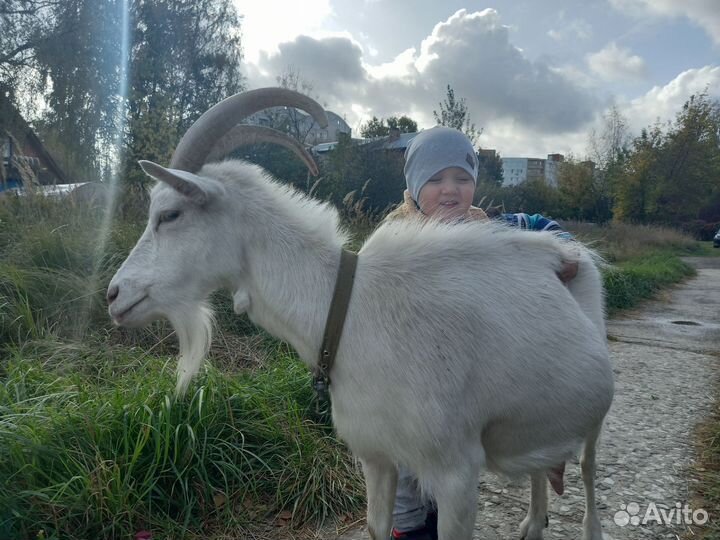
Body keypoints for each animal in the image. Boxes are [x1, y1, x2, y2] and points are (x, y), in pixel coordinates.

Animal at [107, 88, 614, 540]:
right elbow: (376, 526)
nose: (114, 294)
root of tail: (570, 251)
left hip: (595, 414)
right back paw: (533, 523)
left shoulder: (456, 471)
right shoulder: (377, 455)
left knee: (588, 467)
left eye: (169, 214)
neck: (349, 310)